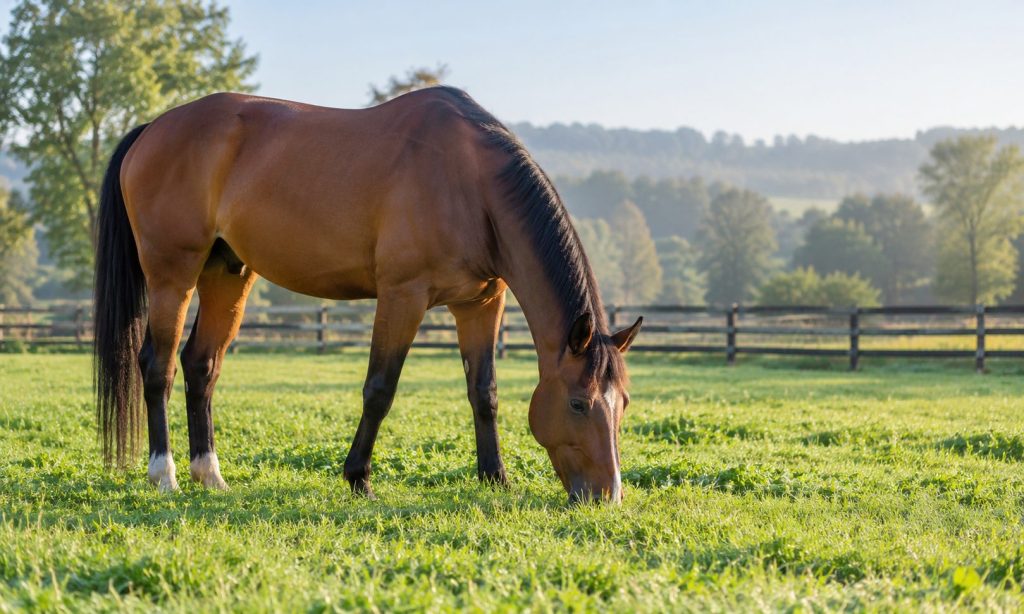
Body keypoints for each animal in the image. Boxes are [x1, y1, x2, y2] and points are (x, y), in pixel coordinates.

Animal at [93, 86, 642, 504]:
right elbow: (380, 389)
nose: (606, 496)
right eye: (578, 404)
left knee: (201, 366)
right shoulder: (403, 296)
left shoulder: (481, 304)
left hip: (227, 274)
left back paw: (209, 474)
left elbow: (483, 392)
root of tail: (153, 128)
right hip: (173, 274)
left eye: (623, 403)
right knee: (157, 366)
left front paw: (496, 478)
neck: (471, 184)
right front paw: (358, 478)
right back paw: (163, 474)